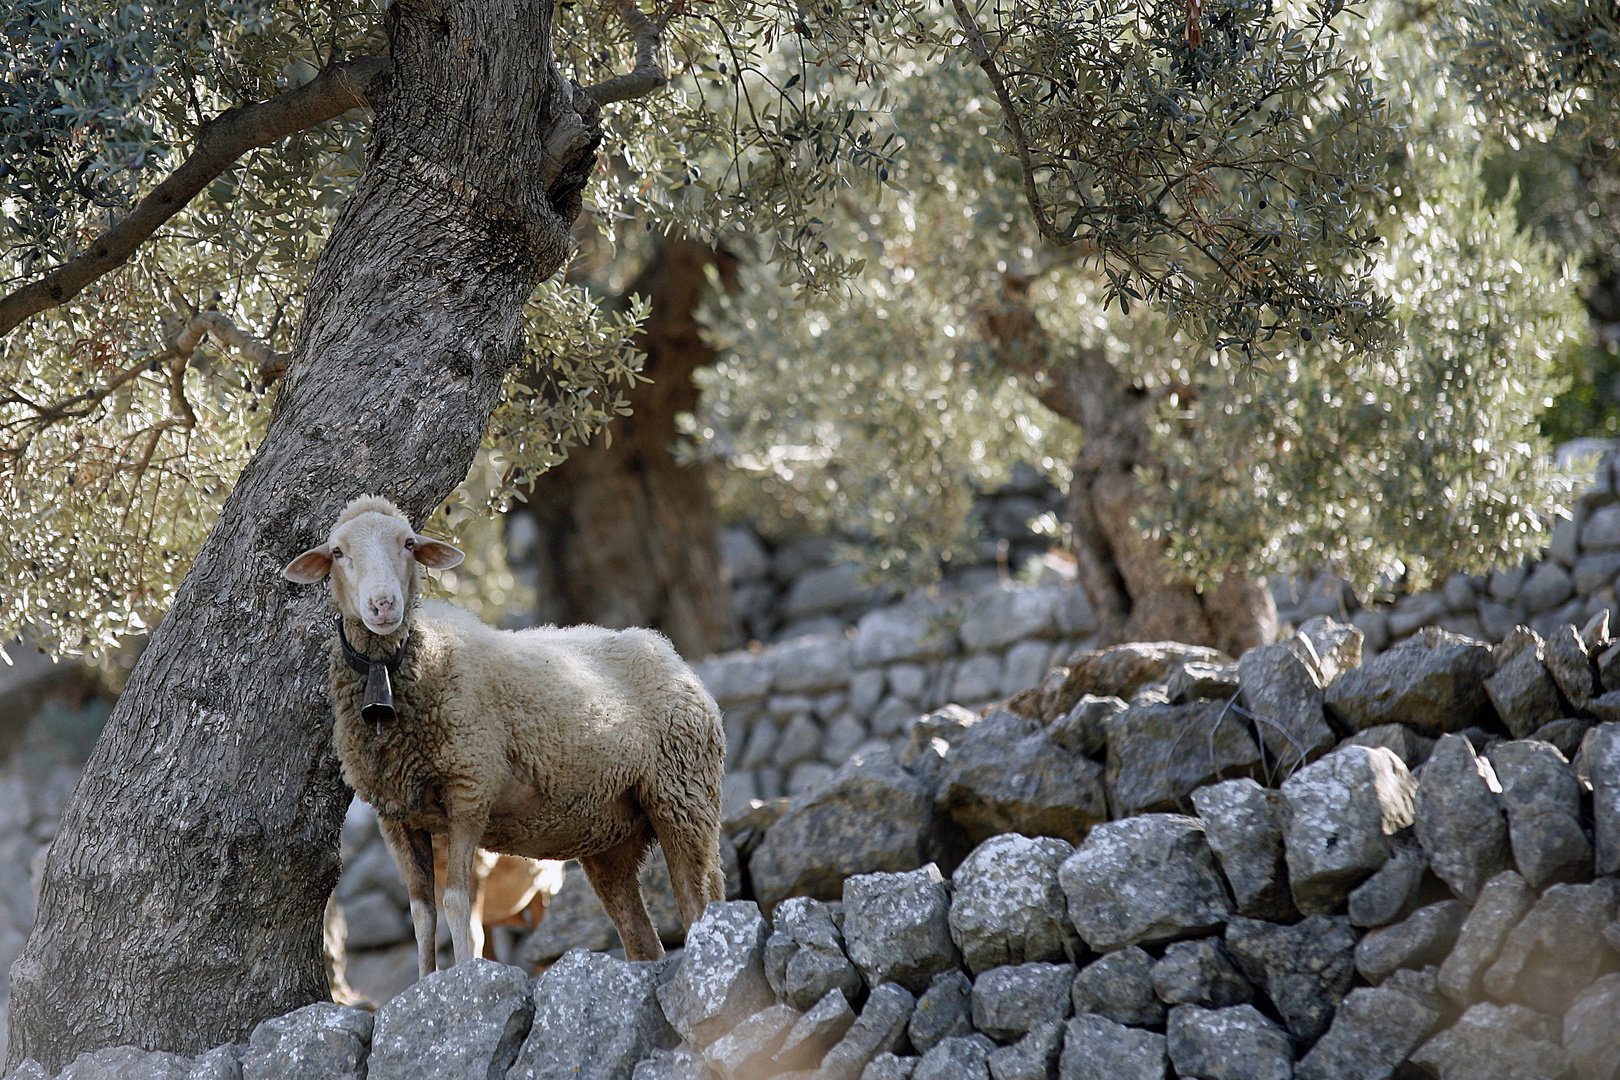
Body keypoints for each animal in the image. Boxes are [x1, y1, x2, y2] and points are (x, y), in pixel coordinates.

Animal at [286, 495, 729, 977]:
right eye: (338, 552)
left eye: (408, 543)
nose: (383, 605)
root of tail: (666, 651)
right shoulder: (398, 817)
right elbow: (422, 914)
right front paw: (425, 982)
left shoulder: (469, 789)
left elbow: (456, 905)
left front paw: (461, 978)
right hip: (611, 835)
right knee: (644, 942)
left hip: (683, 796)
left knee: (701, 897)